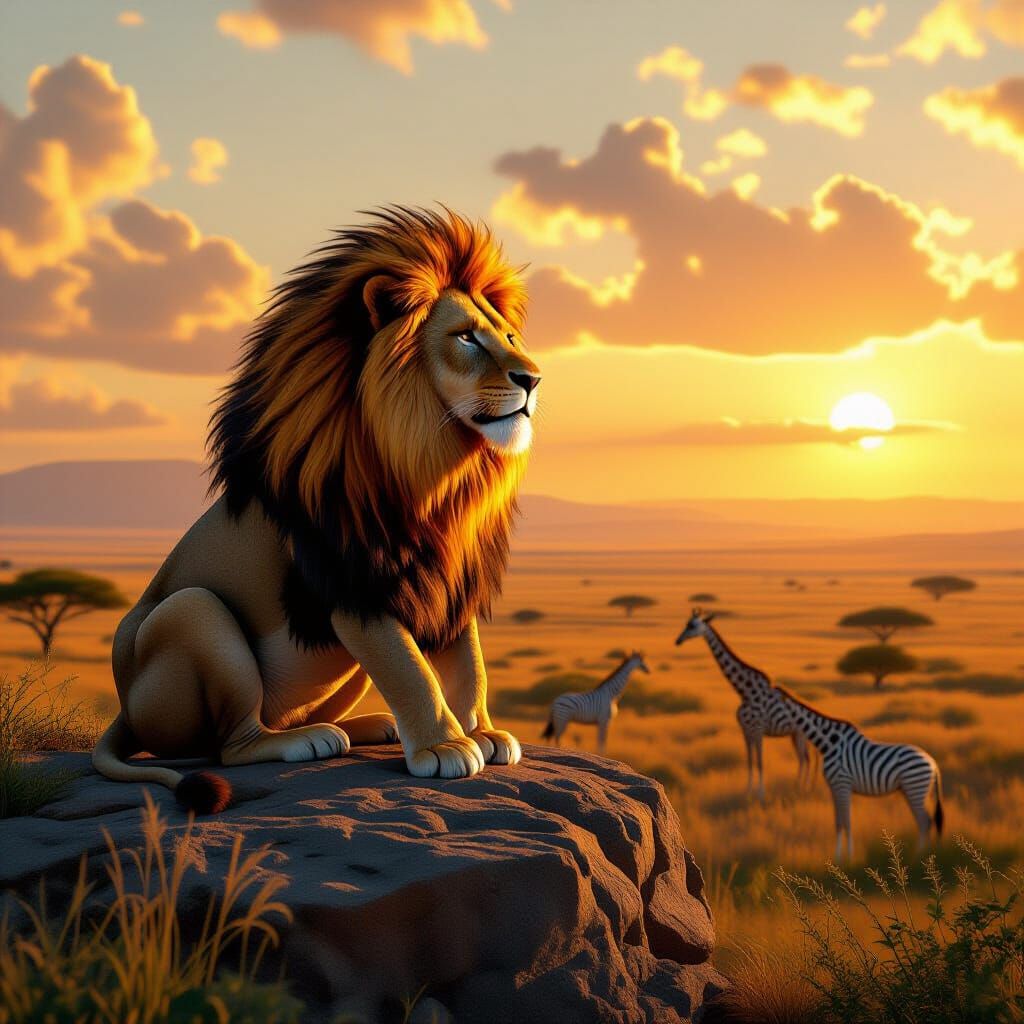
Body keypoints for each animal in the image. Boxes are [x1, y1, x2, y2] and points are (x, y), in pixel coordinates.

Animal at [92, 207, 541, 811]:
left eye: (509, 336)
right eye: (466, 337)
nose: (532, 378)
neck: (433, 474)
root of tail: (123, 708)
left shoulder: (448, 580)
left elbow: (468, 664)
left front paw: (482, 731)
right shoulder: (356, 585)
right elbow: (409, 669)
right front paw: (445, 746)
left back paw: (367, 727)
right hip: (194, 614)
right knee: (229, 745)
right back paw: (304, 741)